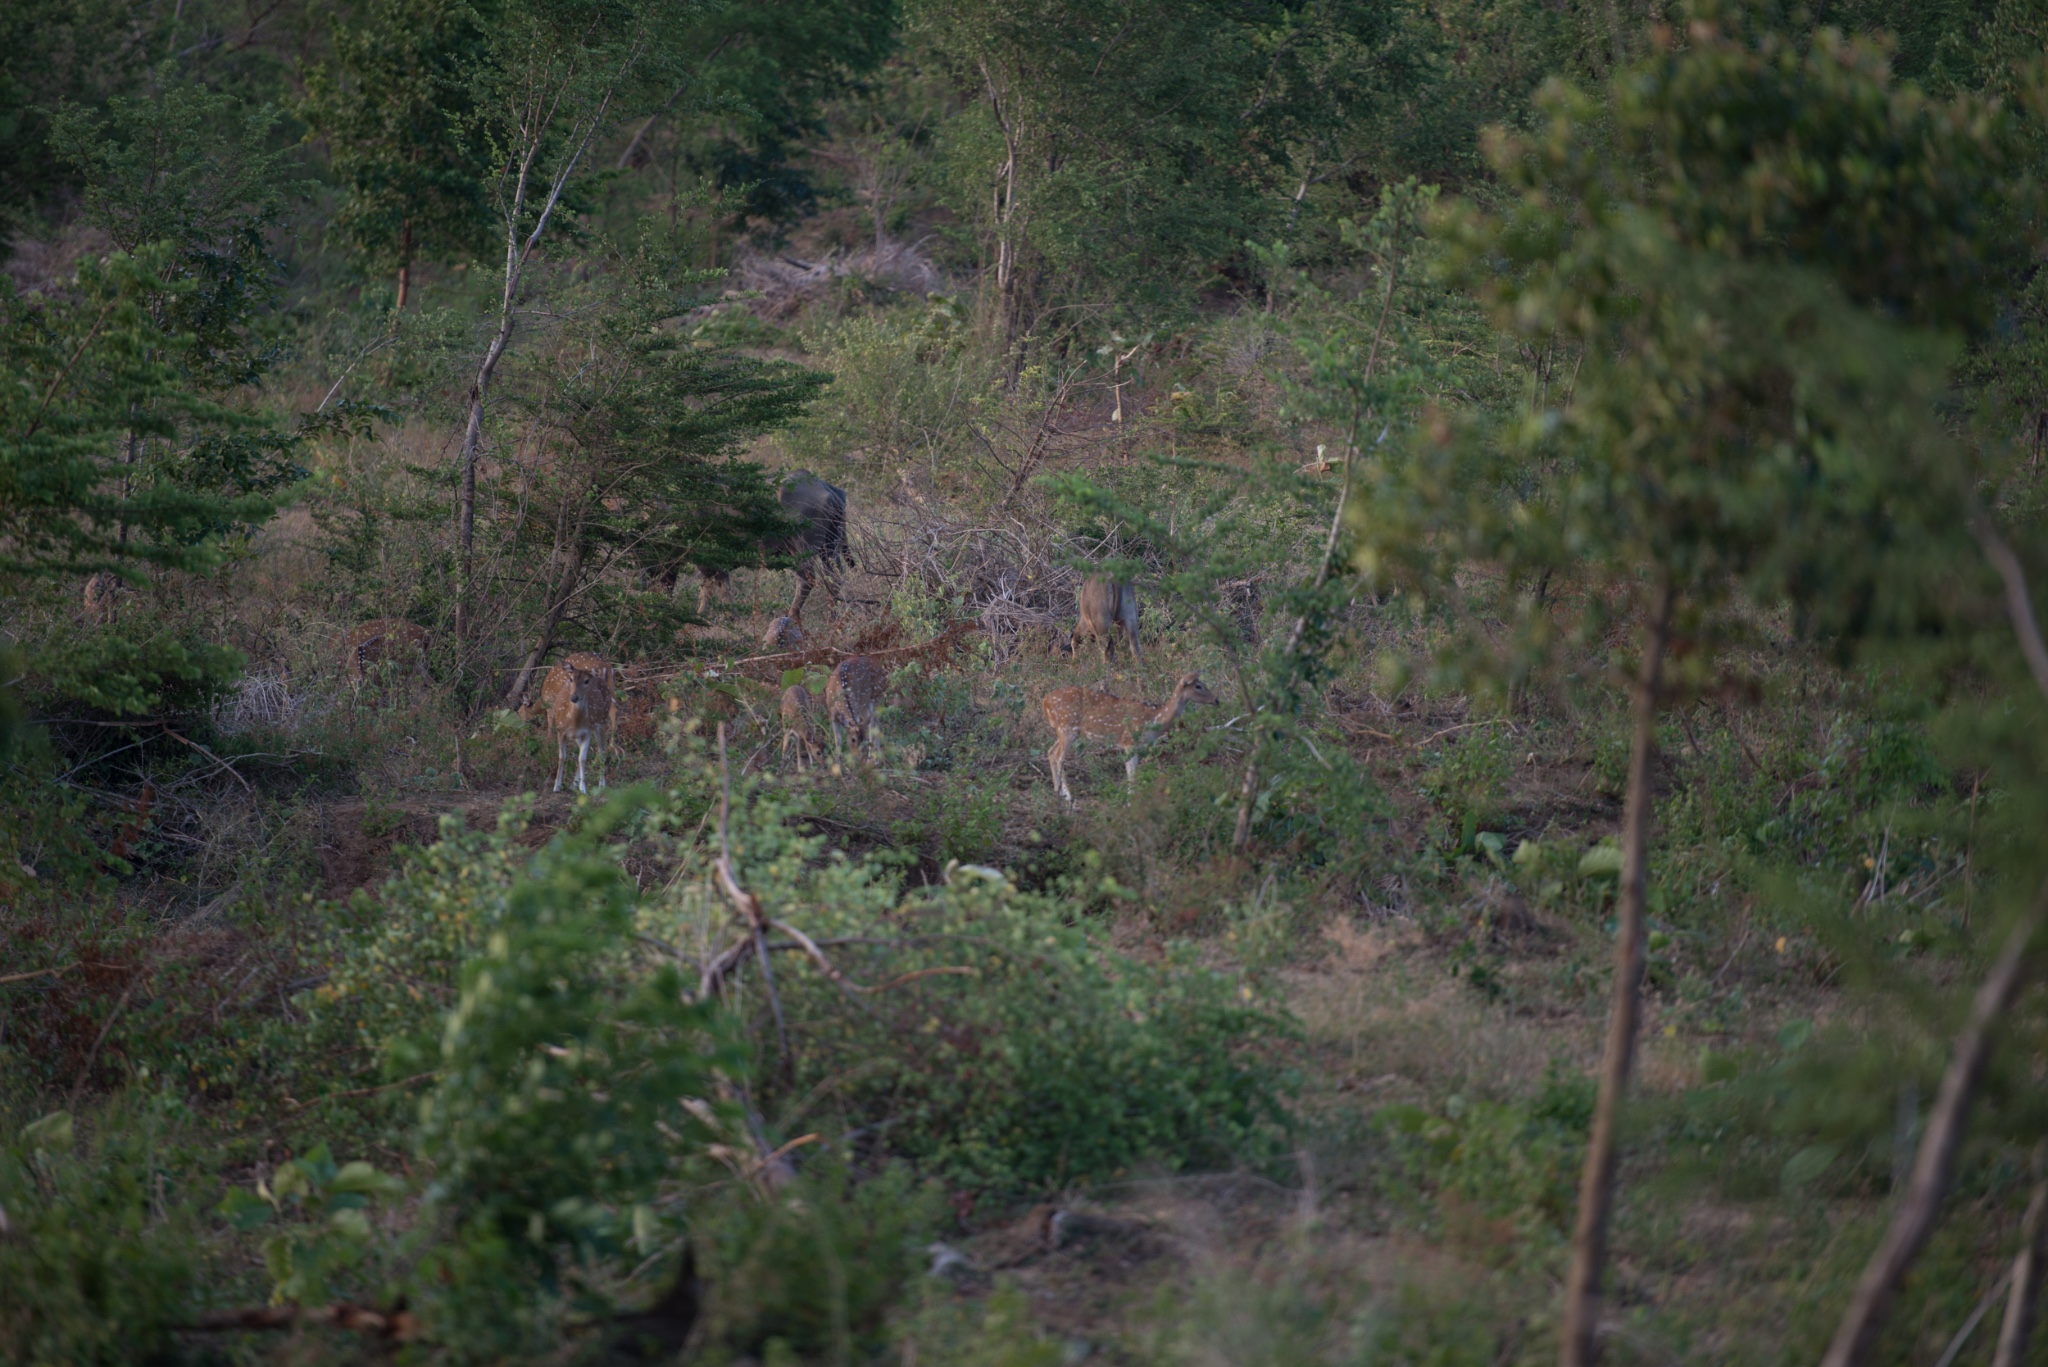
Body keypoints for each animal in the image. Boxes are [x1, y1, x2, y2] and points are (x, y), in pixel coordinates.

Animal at [540, 655, 610, 795]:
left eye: (587, 681)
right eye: (571, 679)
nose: (574, 697)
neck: (573, 721)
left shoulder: (587, 732)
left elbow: (582, 758)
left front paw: (583, 788)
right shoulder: (561, 730)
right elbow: (562, 757)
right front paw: (556, 786)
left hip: (601, 722)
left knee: (601, 752)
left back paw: (601, 784)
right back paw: (574, 784)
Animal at [1040, 676, 1212, 811]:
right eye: (1198, 686)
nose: (1215, 699)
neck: (1154, 719)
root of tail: (1044, 703)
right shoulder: (1129, 741)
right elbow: (1131, 771)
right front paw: (1130, 802)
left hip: (1064, 732)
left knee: (1050, 751)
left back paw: (1057, 790)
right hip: (1067, 728)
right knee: (1059, 757)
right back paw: (1068, 796)